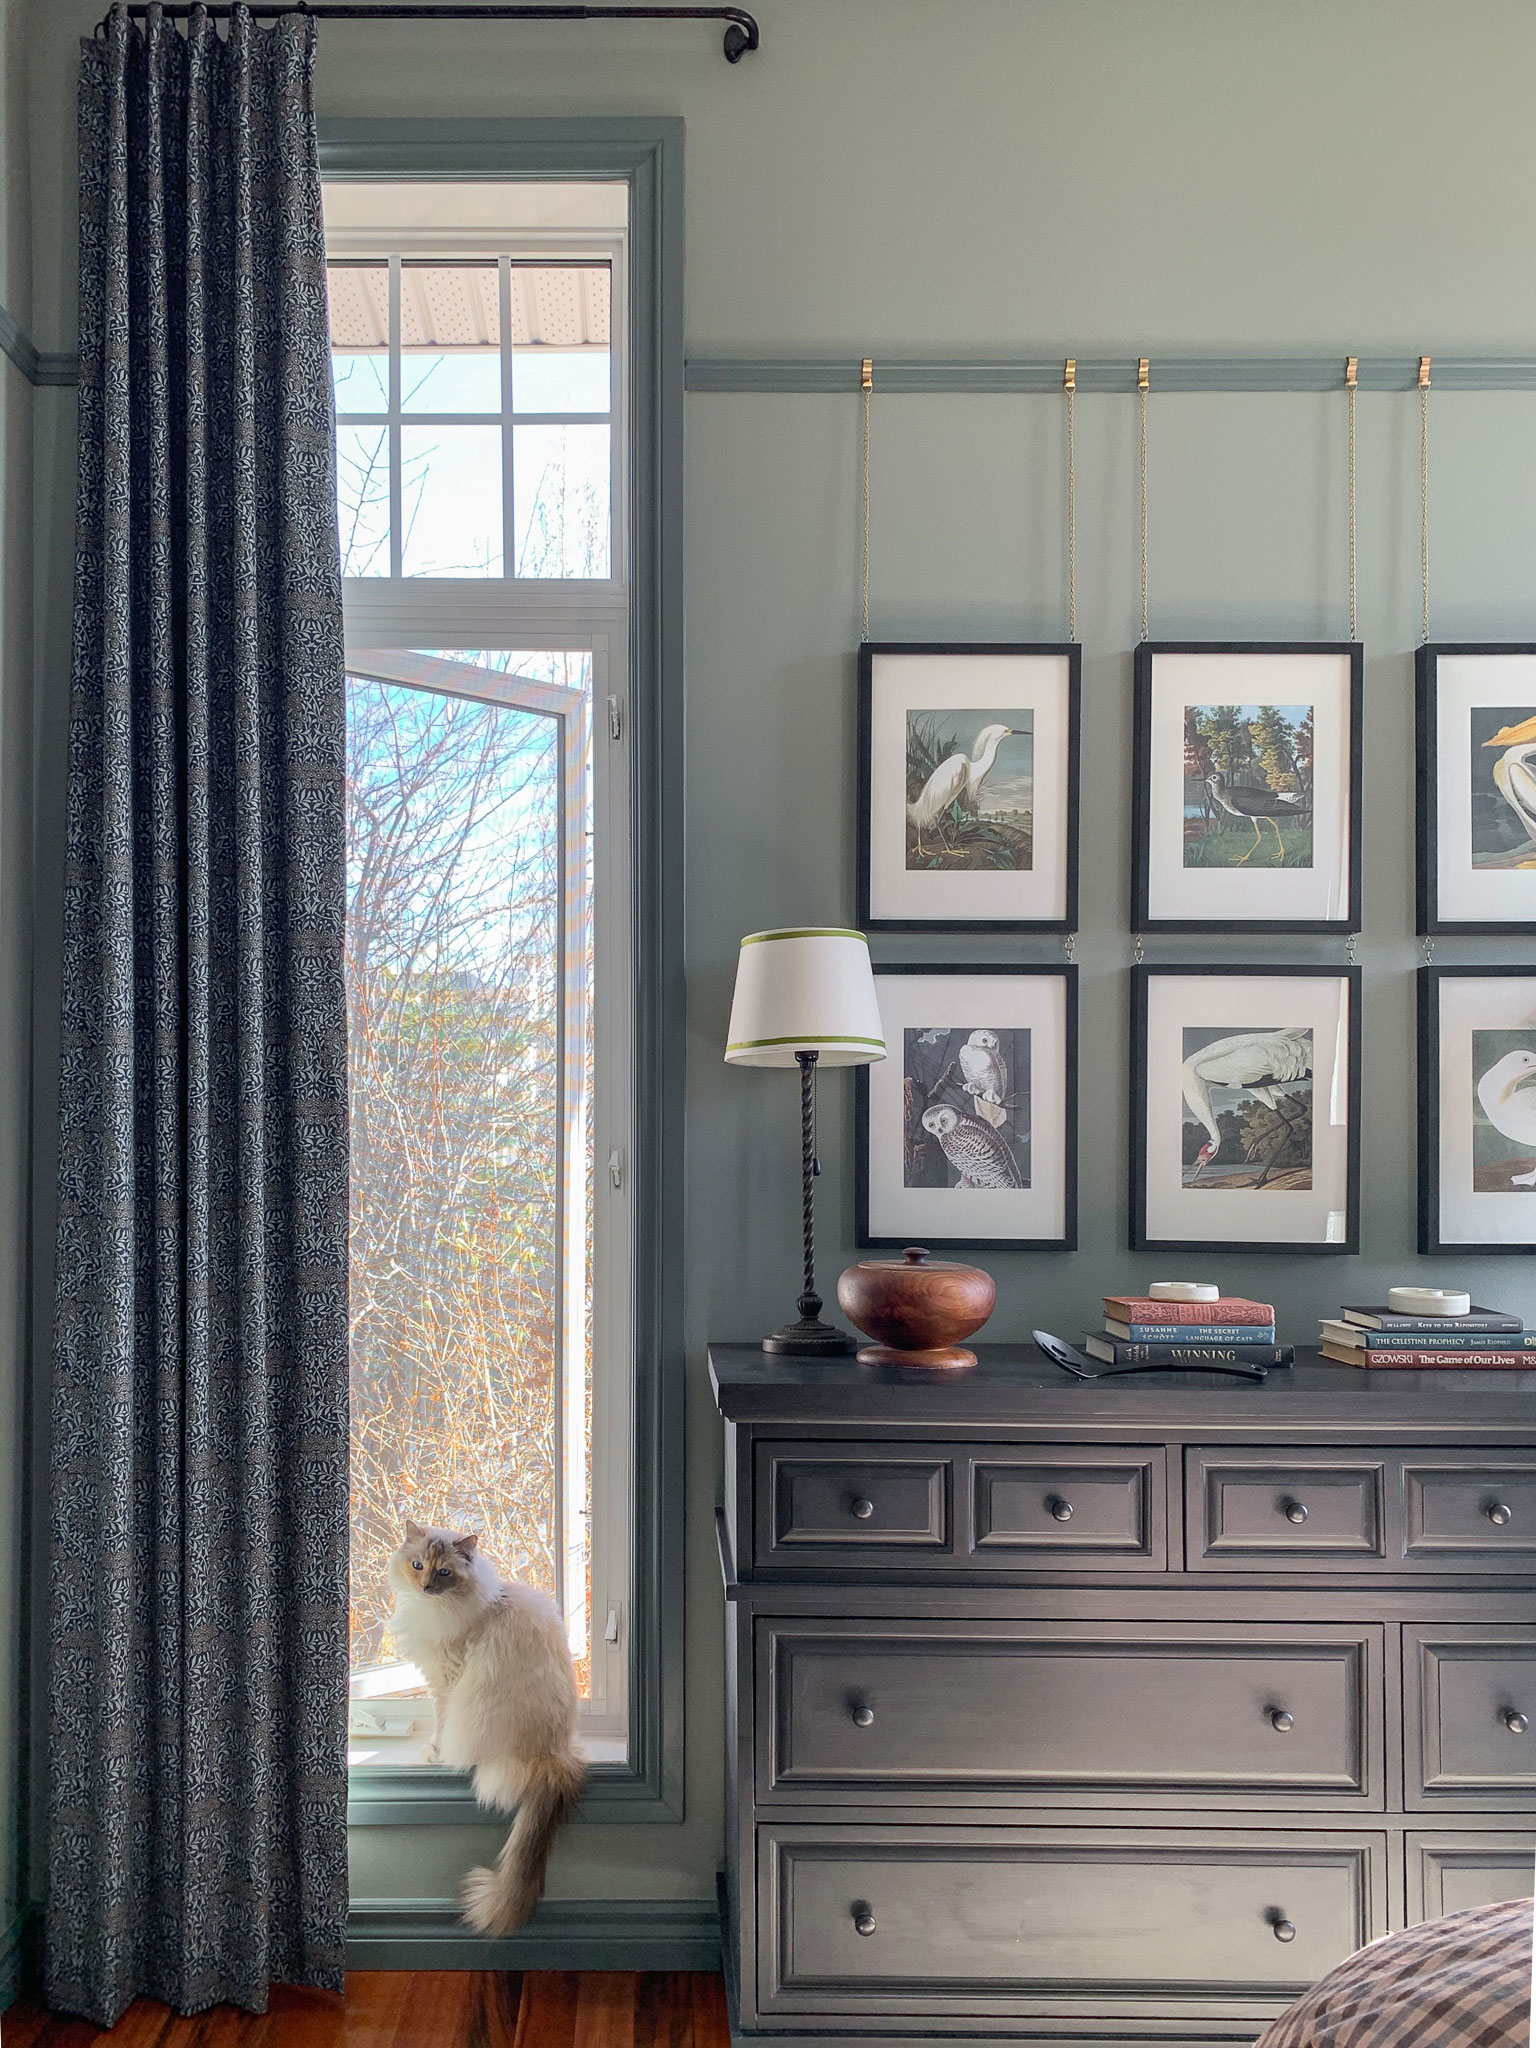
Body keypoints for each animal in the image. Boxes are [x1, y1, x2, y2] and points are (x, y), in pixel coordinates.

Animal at [391, 1523, 589, 1933]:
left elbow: (440, 1720)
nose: (425, 1586)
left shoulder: (447, 1679)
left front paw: (434, 1752)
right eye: (417, 1566)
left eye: (444, 1573)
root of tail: (558, 1757)